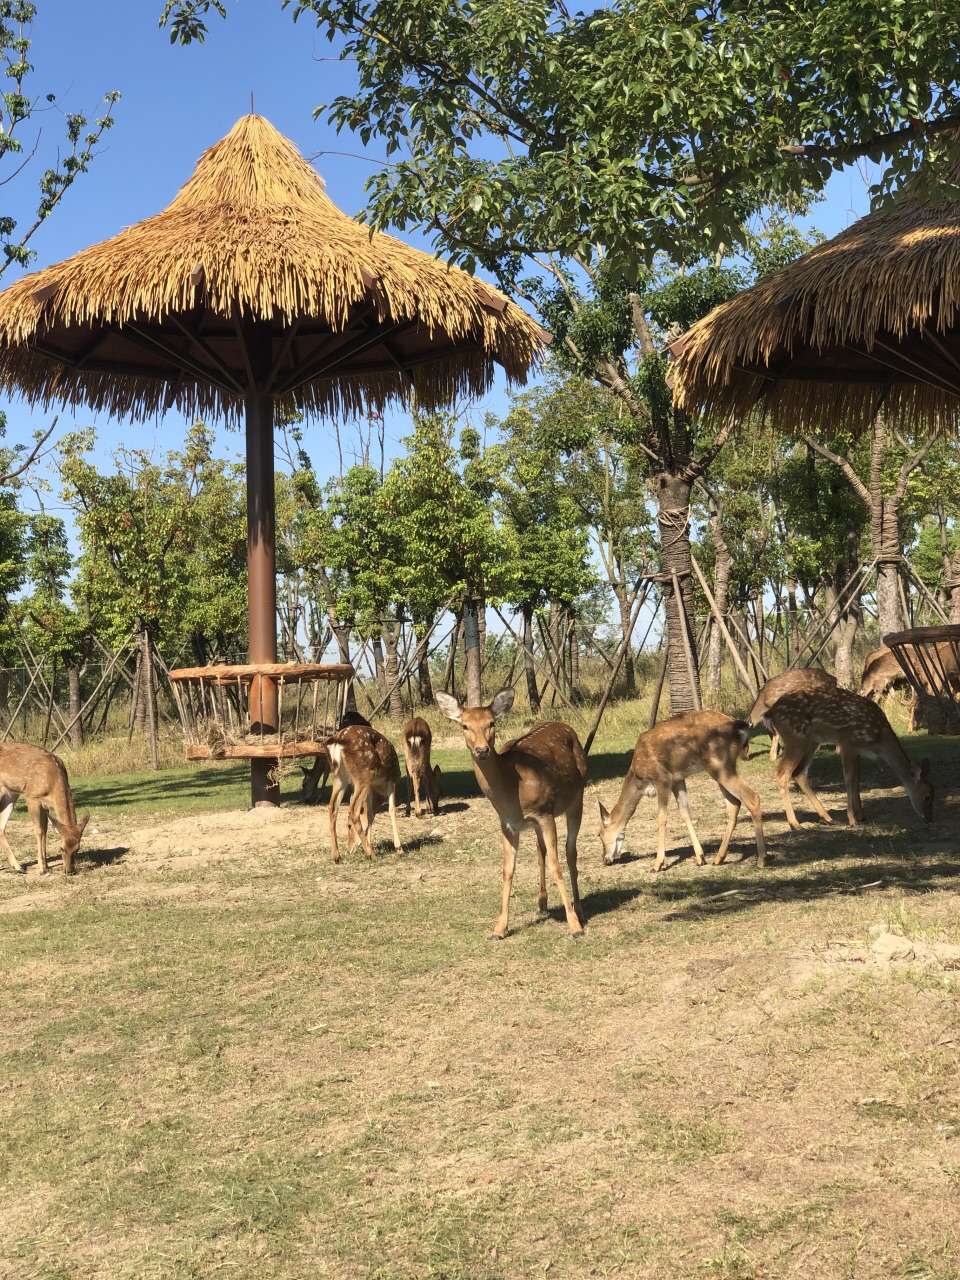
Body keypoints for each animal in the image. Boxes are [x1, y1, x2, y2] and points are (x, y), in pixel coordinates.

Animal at [0, 747, 90, 875]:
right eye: (61, 848)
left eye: (78, 848)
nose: (69, 871)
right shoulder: (31, 796)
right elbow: (39, 831)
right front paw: (42, 868)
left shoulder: (45, 805)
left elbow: (45, 829)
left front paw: (46, 864)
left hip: (11, 794)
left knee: (1, 827)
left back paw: (18, 867)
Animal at [327, 727, 407, 865]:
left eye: (348, 826)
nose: (348, 850)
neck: (380, 791)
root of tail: (337, 741)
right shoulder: (392, 777)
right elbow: (392, 809)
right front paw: (399, 848)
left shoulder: (372, 787)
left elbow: (370, 814)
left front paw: (369, 844)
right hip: (364, 773)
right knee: (353, 809)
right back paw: (372, 855)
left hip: (339, 776)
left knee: (332, 807)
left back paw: (337, 857)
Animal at [435, 691, 586, 942]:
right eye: (465, 725)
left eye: (491, 723)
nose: (482, 750)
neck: (512, 793)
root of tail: (566, 726)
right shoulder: (508, 824)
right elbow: (507, 870)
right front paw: (498, 929)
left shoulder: (545, 813)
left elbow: (556, 866)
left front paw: (574, 927)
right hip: (536, 824)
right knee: (541, 851)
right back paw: (541, 904)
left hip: (578, 796)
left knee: (570, 851)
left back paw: (580, 910)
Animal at [599, 706, 773, 875]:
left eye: (599, 834)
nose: (605, 860)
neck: (639, 778)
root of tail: (740, 727)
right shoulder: (678, 779)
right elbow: (684, 813)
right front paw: (700, 858)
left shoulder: (663, 778)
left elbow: (662, 817)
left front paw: (657, 864)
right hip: (722, 767)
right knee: (734, 803)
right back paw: (719, 858)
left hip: (719, 764)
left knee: (751, 797)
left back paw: (761, 859)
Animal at [762, 691, 936, 829]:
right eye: (927, 797)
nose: (929, 819)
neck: (878, 737)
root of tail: (770, 712)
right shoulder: (848, 742)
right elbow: (849, 777)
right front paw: (852, 819)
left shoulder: (858, 751)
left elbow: (857, 778)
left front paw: (861, 815)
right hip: (795, 738)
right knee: (782, 773)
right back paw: (795, 824)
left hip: (812, 741)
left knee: (799, 773)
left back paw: (828, 818)